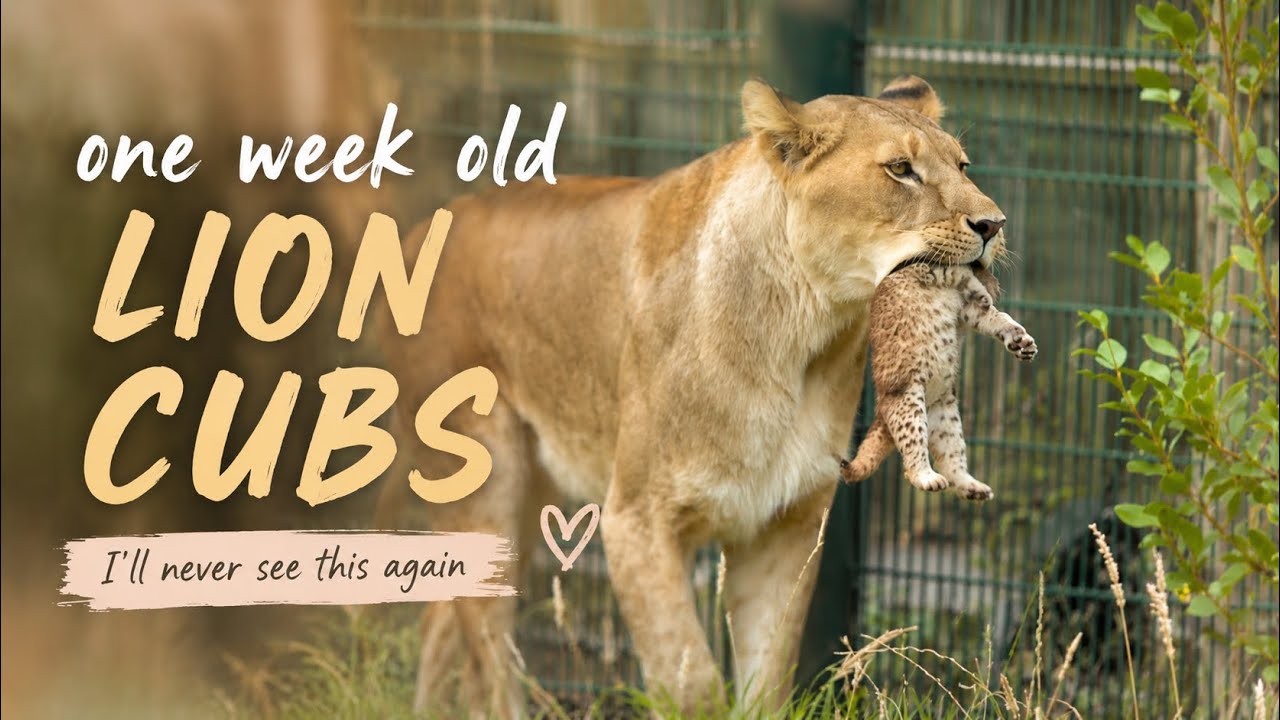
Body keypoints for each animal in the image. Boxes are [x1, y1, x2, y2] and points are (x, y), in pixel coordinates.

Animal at [378, 75, 1009, 717]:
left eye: (963, 165)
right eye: (901, 169)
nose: (994, 225)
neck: (804, 337)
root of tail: (420, 231)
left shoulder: (786, 522)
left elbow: (767, 678)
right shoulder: (637, 521)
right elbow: (692, 684)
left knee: (443, 625)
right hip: (488, 482)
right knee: (490, 651)